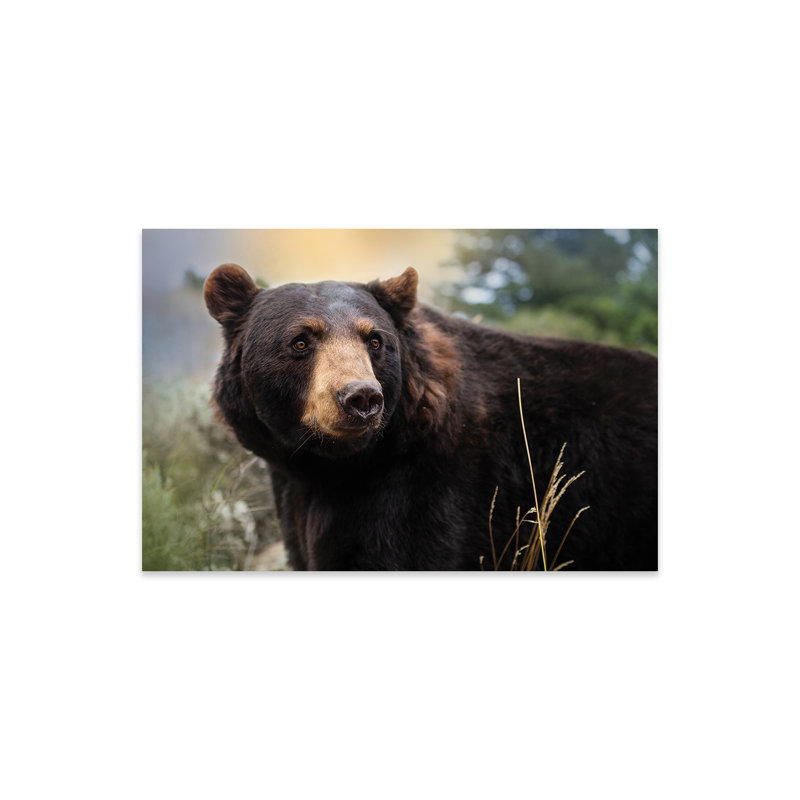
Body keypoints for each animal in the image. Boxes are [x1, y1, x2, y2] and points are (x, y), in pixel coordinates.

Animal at [204, 263, 657, 571]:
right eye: (301, 341)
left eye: (374, 339)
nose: (361, 397)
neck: (338, 466)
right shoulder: (299, 495)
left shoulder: (433, 492)